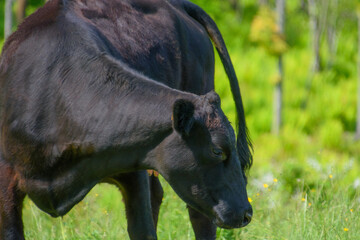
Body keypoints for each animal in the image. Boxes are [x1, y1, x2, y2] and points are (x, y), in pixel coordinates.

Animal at [0, 0, 252, 240]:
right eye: (217, 151)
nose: (247, 212)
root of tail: (177, 3)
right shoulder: (6, 176)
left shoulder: (133, 163)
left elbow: (142, 230)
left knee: (200, 218)